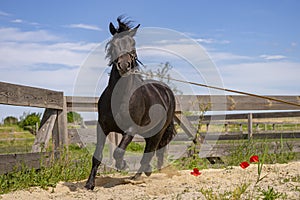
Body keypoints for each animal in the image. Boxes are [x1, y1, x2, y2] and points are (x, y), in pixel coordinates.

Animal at [84, 16, 177, 190]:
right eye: (114, 44)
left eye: (133, 44)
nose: (124, 65)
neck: (121, 96)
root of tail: (167, 92)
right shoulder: (102, 127)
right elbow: (97, 155)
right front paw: (89, 184)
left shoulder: (131, 129)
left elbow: (118, 152)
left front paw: (123, 165)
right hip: (148, 131)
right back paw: (145, 171)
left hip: (158, 131)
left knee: (151, 150)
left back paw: (140, 174)